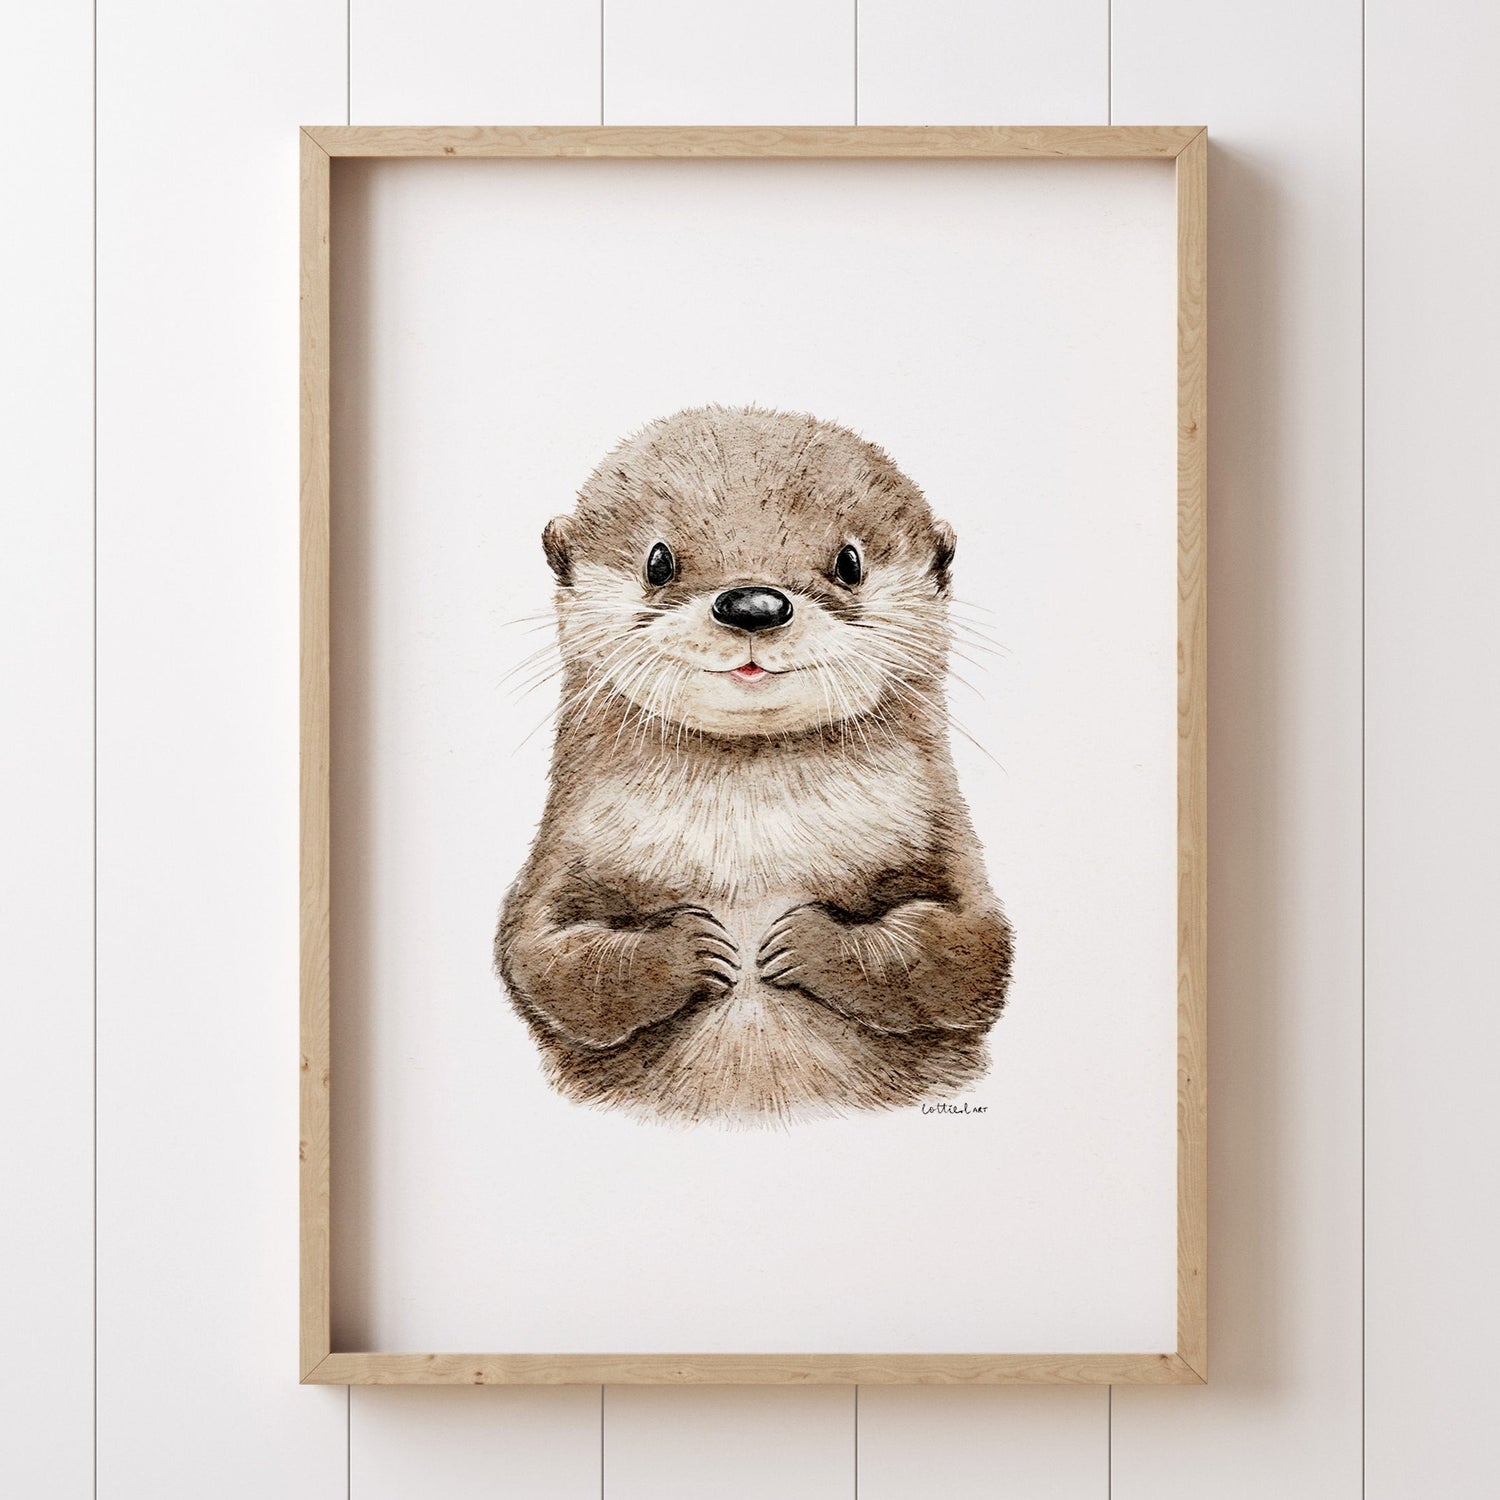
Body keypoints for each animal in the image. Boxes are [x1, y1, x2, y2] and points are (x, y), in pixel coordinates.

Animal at [495, 406, 1013, 1124]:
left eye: (849, 562)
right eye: (658, 560)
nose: (752, 604)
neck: (750, 841)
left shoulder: (957, 864)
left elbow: (960, 952)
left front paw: (811, 942)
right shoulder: (556, 864)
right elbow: (548, 961)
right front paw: (688, 949)